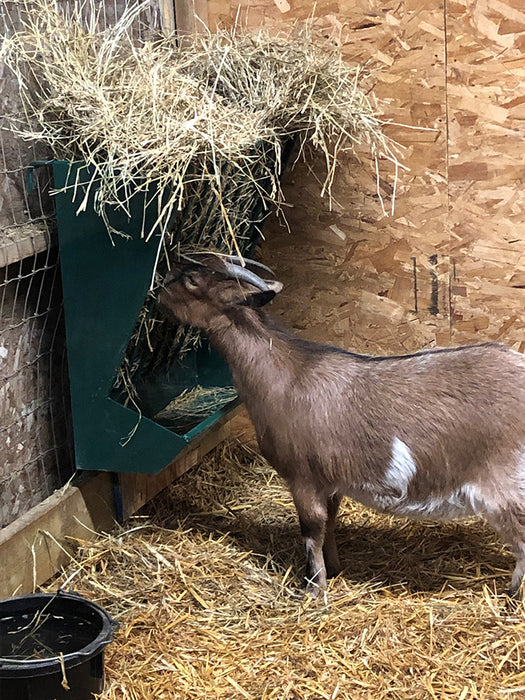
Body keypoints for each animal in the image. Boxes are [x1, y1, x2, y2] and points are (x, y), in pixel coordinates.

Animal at [157, 254, 525, 597]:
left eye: (191, 280)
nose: (157, 291)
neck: (286, 374)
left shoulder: (302, 477)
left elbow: (311, 531)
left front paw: (313, 588)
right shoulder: (328, 480)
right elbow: (330, 524)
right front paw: (333, 570)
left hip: (506, 485)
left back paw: (512, 594)